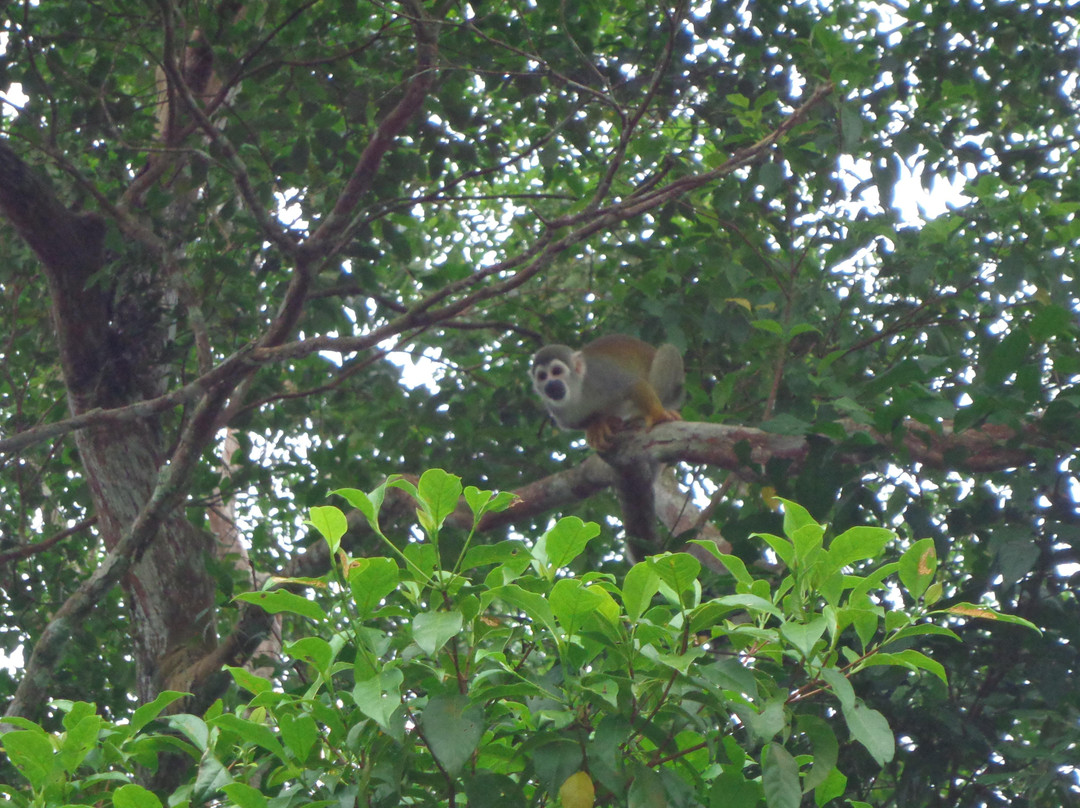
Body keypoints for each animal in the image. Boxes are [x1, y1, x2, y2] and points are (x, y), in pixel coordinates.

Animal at [529, 332, 682, 451]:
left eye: (556, 371)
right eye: (542, 376)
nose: (551, 384)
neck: (576, 391)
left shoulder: (598, 374)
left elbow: (632, 384)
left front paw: (657, 415)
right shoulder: (557, 410)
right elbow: (574, 423)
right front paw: (596, 425)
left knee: (669, 350)